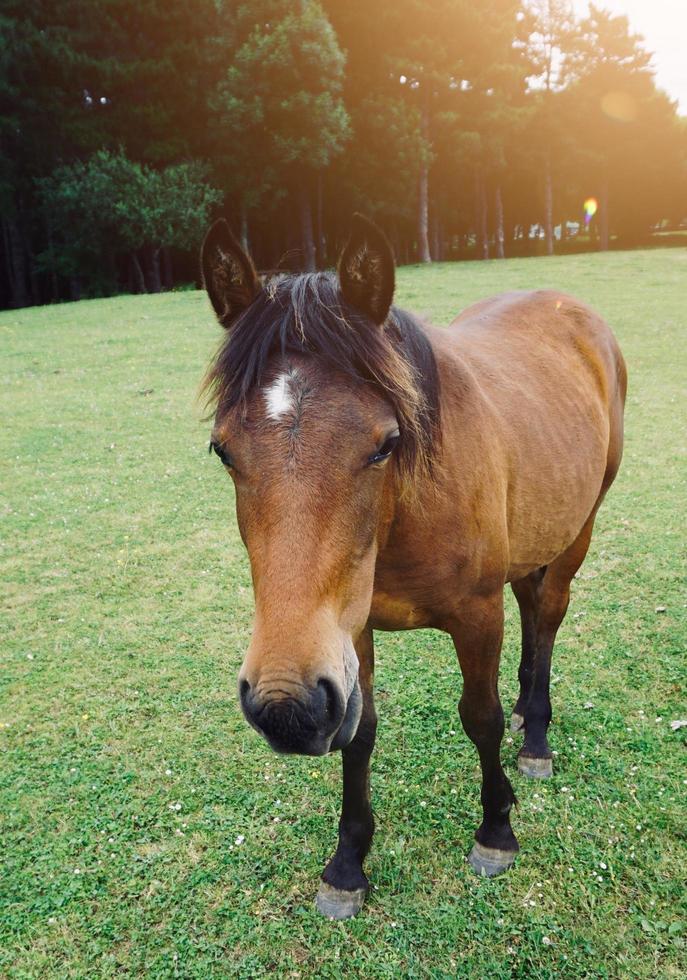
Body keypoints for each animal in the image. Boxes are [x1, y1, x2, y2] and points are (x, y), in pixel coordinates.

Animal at [200, 212, 628, 920]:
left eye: (385, 444)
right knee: (532, 605)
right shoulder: (349, 633)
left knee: (548, 616)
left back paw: (535, 737)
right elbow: (360, 733)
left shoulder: (476, 616)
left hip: (578, 530)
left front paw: (496, 830)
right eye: (223, 450)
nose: (286, 706)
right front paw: (347, 866)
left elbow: (479, 717)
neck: (401, 511)